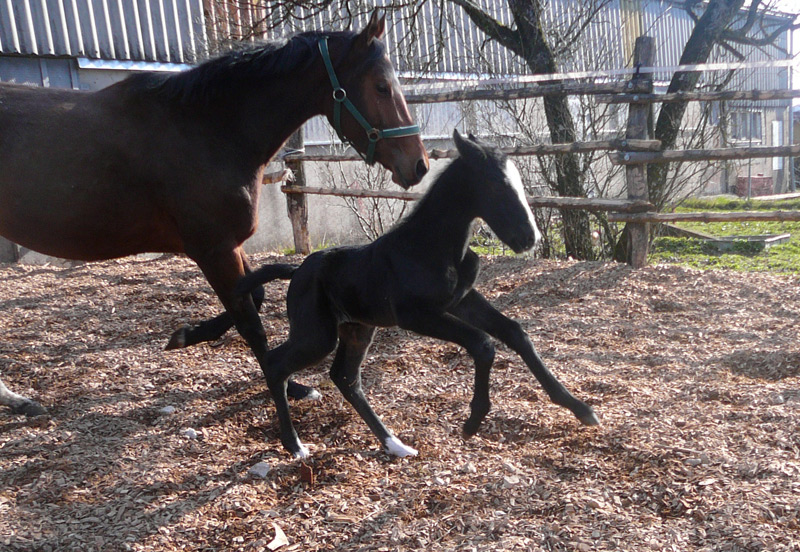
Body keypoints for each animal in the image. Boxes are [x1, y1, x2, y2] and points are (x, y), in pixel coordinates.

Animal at [0, 11, 429, 417]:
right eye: (381, 86)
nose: (419, 165)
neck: (205, 128)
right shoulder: (213, 248)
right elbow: (250, 322)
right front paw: (285, 385)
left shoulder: (229, 244)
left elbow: (254, 295)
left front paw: (187, 335)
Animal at [237, 130, 599, 458]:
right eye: (497, 185)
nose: (529, 238)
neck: (432, 246)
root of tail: (297, 270)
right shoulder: (416, 315)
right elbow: (483, 343)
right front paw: (473, 421)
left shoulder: (462, 299)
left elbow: (514, 332)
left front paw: (580, 408)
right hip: (318, 335)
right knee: (277, 364)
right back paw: (295, 445)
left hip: (357, 329)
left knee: (345, 377)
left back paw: (394, 444)